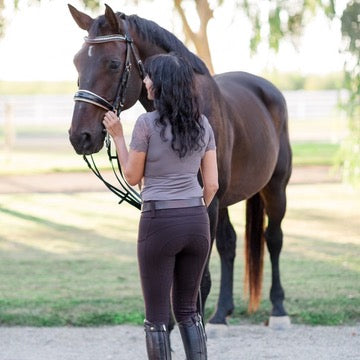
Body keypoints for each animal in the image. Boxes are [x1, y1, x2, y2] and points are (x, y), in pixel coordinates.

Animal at [68, 4, 292, 328]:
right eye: (77, 62)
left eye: (112, 63)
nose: (79, 136)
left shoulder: (207, 205)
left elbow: (200, 281)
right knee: (229, 245)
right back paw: (221, 314)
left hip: (275, 188)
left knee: (273, 238)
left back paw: (278, 309)